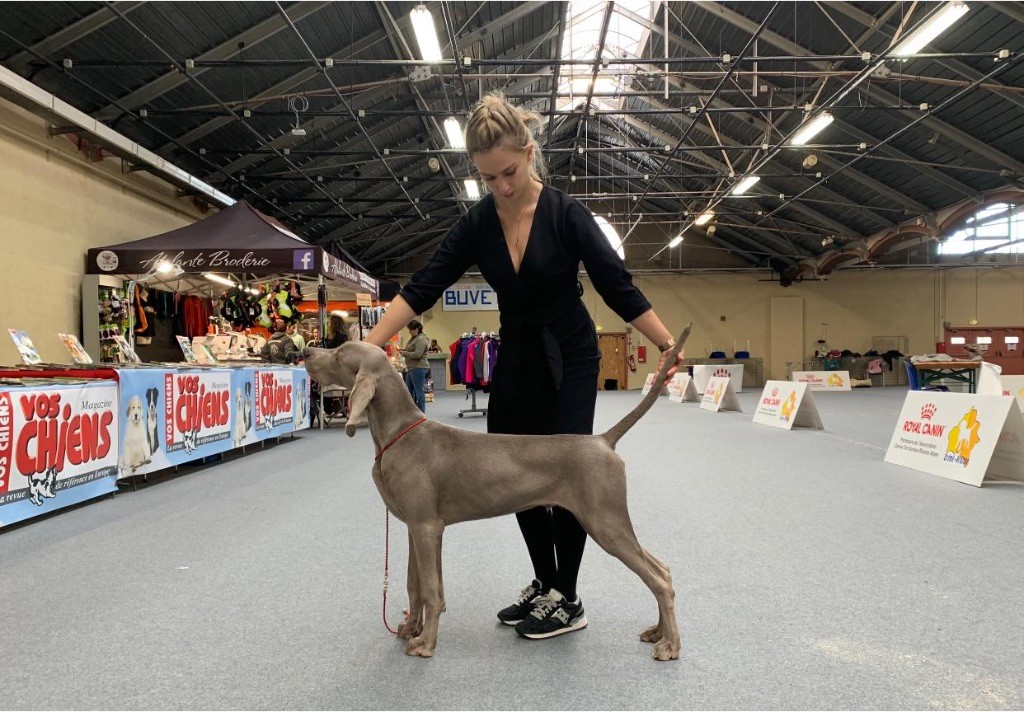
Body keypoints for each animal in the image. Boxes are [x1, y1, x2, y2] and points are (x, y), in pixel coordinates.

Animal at [301, 325, 688, 659]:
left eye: (340, 354)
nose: (305, 351)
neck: (399, 432)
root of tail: (603, 440)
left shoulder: (426, 527)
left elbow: (430, 590)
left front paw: (426, 643)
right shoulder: (416, 528)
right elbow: (416, 586)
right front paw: (411, 629)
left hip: (605, 521)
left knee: (657, 578)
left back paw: (670, 645)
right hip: (610, 521)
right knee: (664, 568)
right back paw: (658, 631)